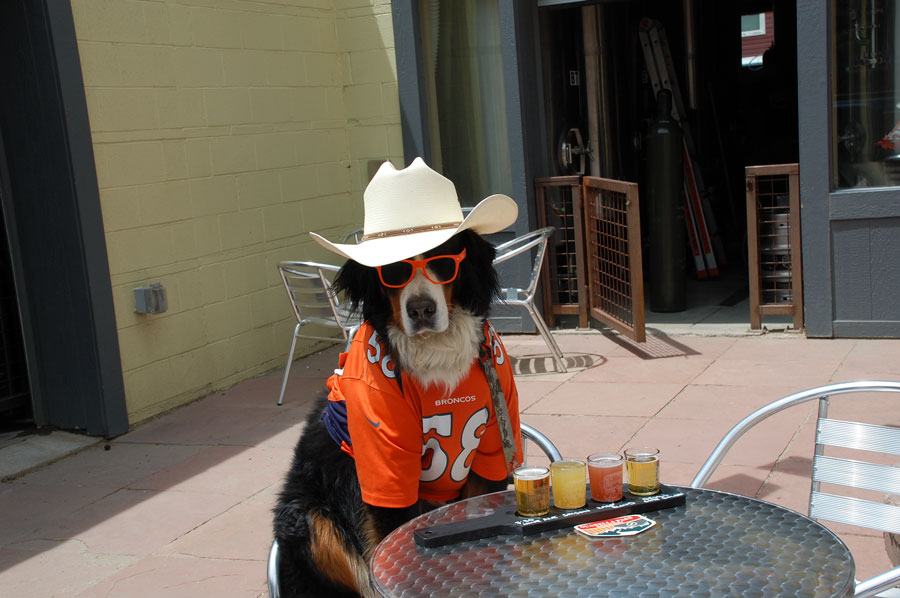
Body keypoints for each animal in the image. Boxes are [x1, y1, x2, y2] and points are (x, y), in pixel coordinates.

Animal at [270, 231, 524, 598]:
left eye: (442, 260)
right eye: (391, 270)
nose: (420, 309)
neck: (435, 355)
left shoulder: (491, 450)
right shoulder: (385, 473)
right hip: (310, 518)